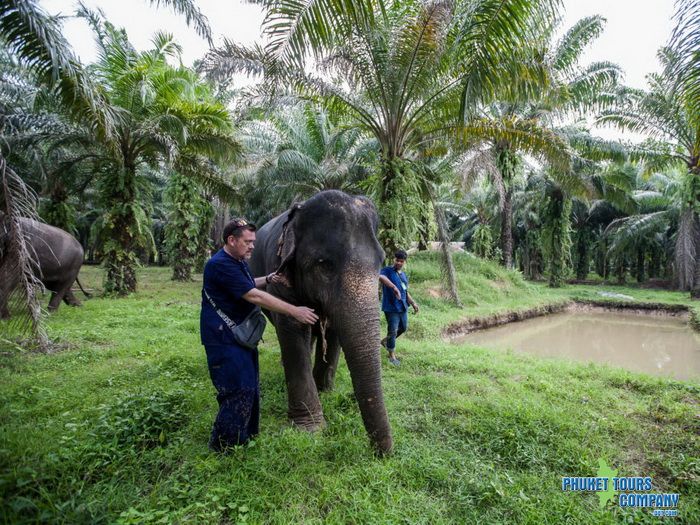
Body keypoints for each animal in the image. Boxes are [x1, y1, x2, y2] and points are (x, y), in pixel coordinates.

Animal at [250, 190, 394, 452]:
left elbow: (335, 330)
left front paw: (325, 391)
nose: (383, 454)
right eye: (324, 265)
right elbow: (293, 328)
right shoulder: (279, 276)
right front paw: (310, 429)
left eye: (381, 261)